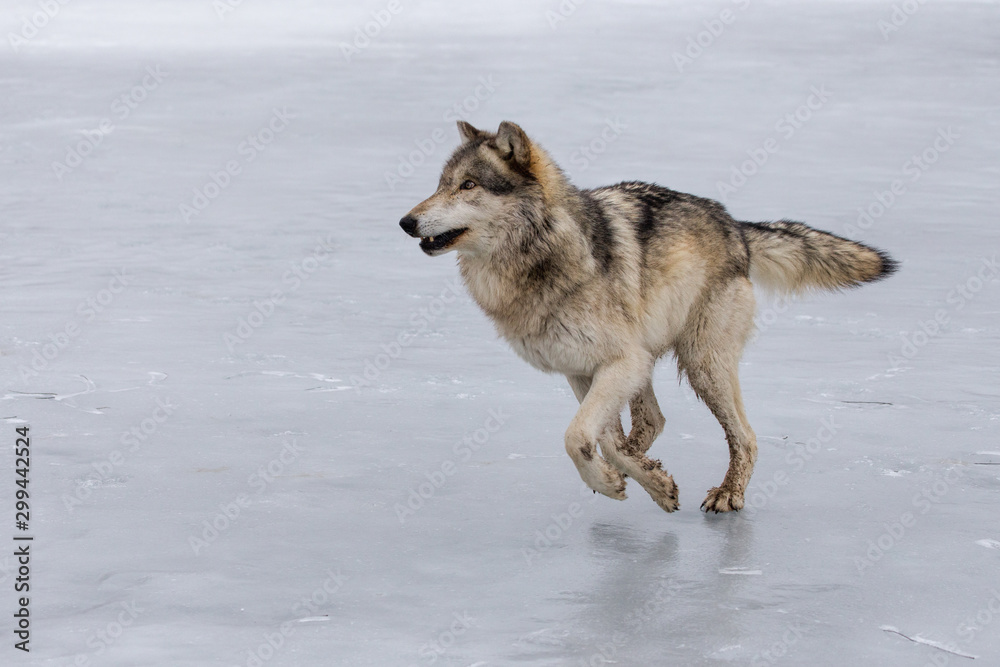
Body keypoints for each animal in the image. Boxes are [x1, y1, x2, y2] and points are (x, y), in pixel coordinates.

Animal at [398, 120, 900, 516]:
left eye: (467, 185)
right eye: (440, 183)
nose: (406, 222)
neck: (539, 259)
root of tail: (734, 226)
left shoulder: (620, 363)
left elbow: (576, 436)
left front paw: (621, 481)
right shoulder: (584, 369)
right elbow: (603, 440)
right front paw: (640, 482)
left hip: (701, 363)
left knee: (745, 436)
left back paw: (728, 495)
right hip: (655, 361)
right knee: (653, 422)